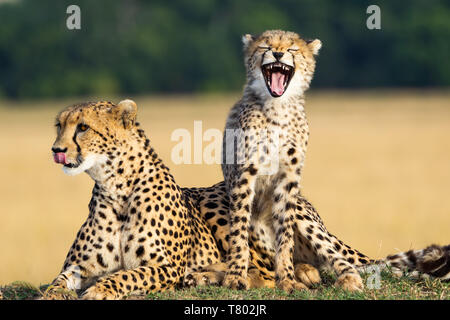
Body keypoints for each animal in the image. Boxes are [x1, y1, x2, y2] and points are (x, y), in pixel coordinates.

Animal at [47, 100, 448, 300]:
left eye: (83, 127)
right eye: (59, 125)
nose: (56, 149)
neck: (115, 185)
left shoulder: (165, 265)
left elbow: (127, 275)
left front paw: (101, 290)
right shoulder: (76, 266)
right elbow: (56, 282)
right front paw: (52, 296)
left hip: (233, 203)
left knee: (281, 270)